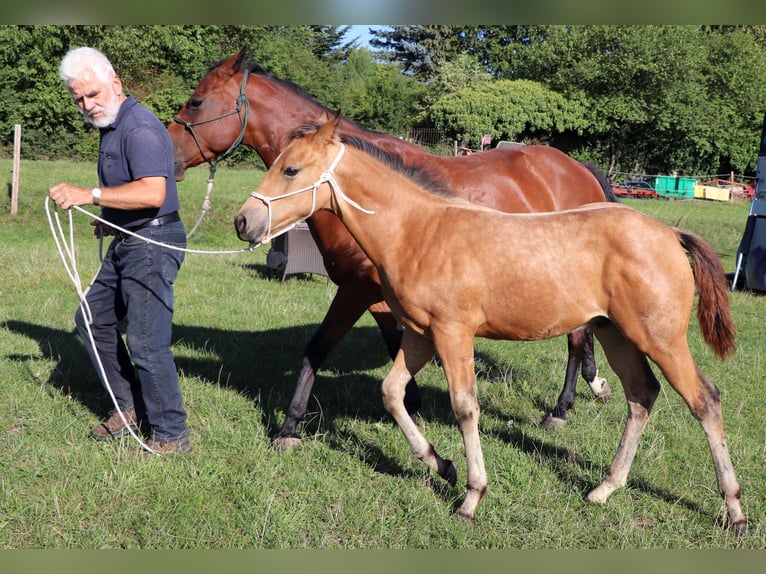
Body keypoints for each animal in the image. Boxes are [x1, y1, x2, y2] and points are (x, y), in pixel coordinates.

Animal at [171, 48, 616, 450]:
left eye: (197, 101)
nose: (169, 155)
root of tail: (577, 168)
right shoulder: (380, 291)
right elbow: (392, 342)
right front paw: (413, 400)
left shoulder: (355, 288)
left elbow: (317, 348)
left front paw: (289, 428)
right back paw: (593, 385)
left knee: (576, 340)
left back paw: (561, 408)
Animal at [236, 113, 752, 536]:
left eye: (291, 170)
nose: (244, 221)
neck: (418, 231)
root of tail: (670, 233)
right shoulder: (422, 337)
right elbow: (392, 392)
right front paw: (440, 465)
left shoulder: (452, 335)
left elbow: (466, 408)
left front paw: (471, 496)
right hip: (616, 334)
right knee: (641, 396)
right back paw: (604, 488)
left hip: (661, 339)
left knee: (705, 401)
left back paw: (735, 511)